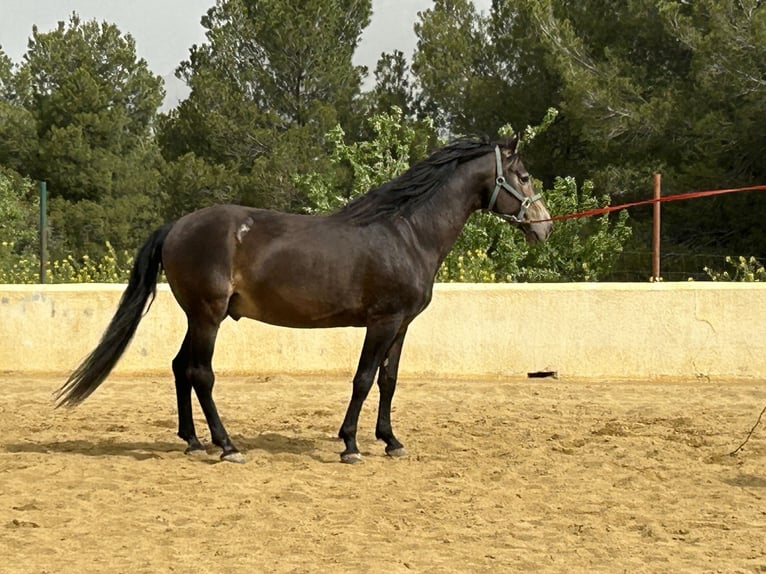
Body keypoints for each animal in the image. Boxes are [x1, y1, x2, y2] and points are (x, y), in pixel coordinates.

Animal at [57, 137, 556, 466]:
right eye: (524, 175)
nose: (545, 226)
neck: (406, 232)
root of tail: (177, 226)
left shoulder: (402, 324)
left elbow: (389, 381)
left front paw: (391, 440)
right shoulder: (381, 321)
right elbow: (363, 379)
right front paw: (351, 445)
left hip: (197, 317)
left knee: (181, 367)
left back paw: (194, 440)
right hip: (208, 316)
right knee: (200, 373)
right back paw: (227, 446)